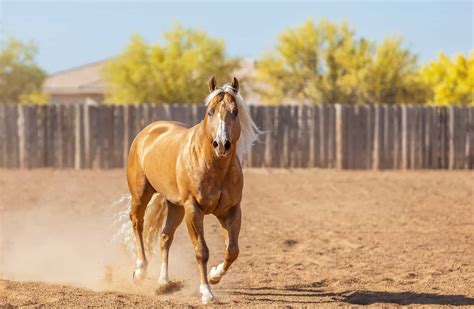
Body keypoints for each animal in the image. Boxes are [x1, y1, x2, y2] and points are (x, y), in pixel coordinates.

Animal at [127, 76, 260, 302]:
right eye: (210, 111)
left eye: (235, 112)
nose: (221, 144)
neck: (213, 166)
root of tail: (147, 132)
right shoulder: (193, 209)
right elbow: (201, 250)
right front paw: (206, 292)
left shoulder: (232, 210)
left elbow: (232, 250)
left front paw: (214, 275)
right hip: (141, 194)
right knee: (138, 223)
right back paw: (140, 271)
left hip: (175, 206)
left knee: (165, 237)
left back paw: (164, 282)